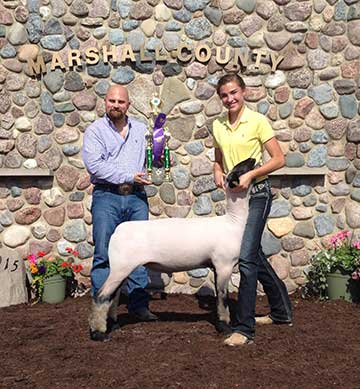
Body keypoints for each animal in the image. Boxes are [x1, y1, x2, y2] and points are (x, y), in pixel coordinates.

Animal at [88, 158, 255, 340]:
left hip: (121, 268)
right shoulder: (224, 265)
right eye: (239, 169)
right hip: (121, 267)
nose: (252, 159)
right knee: (101, 296)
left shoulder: (217, 267)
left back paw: (112, 325)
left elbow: (219, 297)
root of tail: (118, 231)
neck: (233, 221)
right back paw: (98, 333)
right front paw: (225, 327)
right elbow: (223, 298)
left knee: (113, 297)